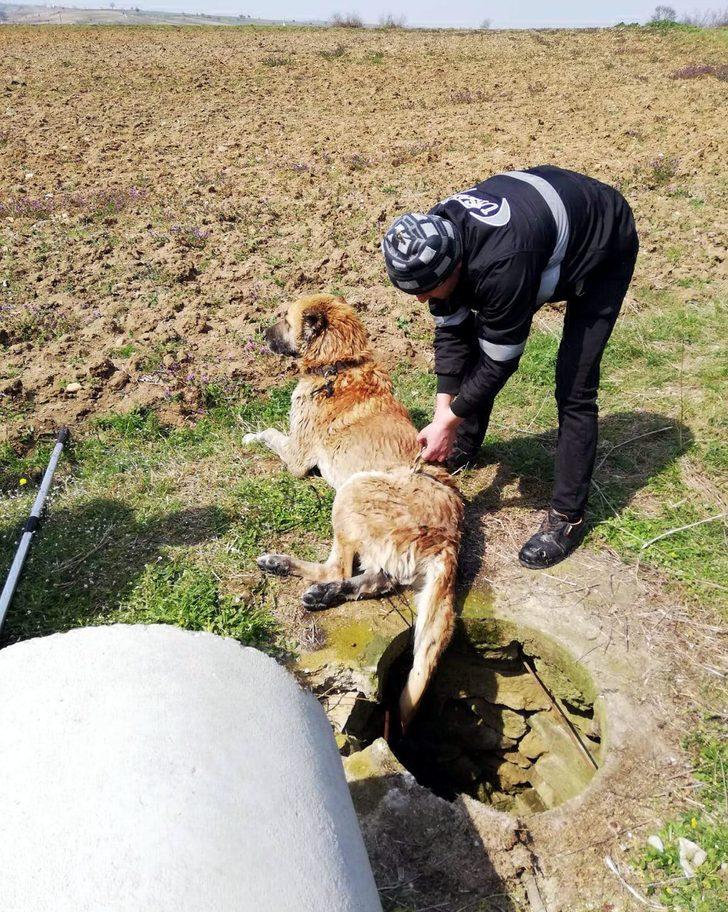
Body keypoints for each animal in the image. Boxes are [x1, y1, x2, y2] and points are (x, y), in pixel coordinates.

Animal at [243, 294, 460, 728]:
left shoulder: (296, 456)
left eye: (284, 319)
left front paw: (251, 433)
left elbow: (271, 434)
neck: (339, 365)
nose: (260, 332)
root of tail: (449, 537)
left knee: (338, 568)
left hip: (350, 492)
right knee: (374, 580)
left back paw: (281, 565)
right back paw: (323, 595)